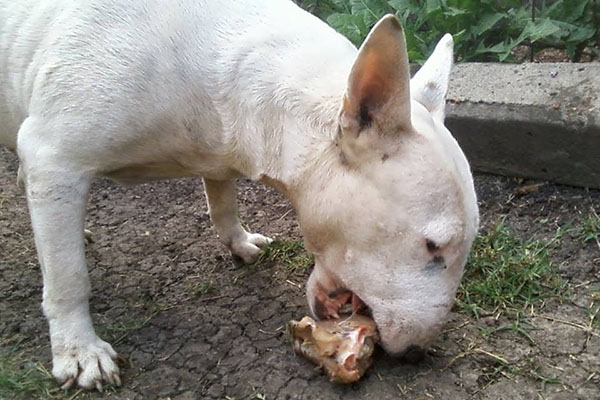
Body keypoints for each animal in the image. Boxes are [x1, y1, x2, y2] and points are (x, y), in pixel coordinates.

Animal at [0, 0, 478, 390]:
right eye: (432, 246)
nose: (416, 354)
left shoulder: (218, 148)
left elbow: (222, 198)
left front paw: (240, 241)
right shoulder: (55, 156)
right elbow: (68, 276)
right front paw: (79, 351)